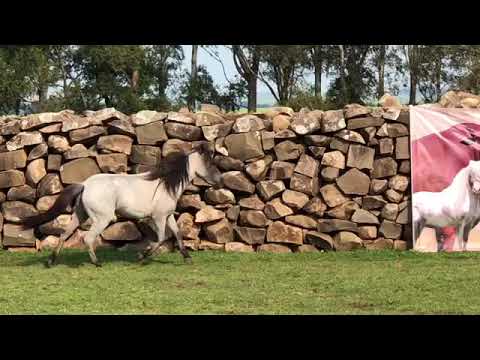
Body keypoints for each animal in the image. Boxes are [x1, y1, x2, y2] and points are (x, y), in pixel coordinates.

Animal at [20, 141, 223, 268]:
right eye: (209, 162)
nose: (219, 181)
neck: (165, 184)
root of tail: (85, 184)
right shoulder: (158, 217)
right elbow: (160, 239)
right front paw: (141, 257)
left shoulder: (168, 216)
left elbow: (178, 235)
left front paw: (188, 258)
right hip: (102, 219)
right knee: (87, 238)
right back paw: (97, 263)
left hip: (80, 215)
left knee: (64, 235)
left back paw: (50, 262)